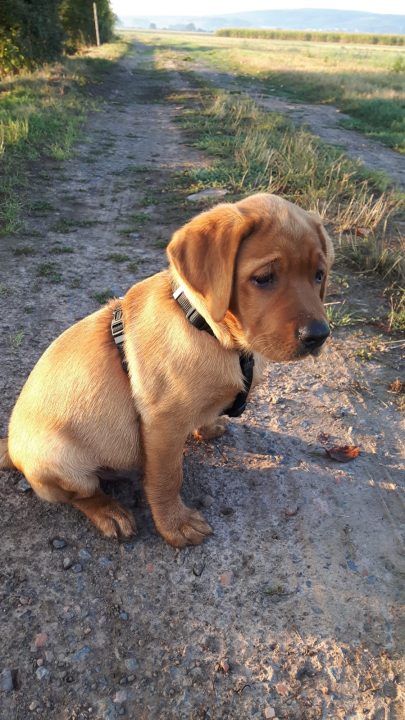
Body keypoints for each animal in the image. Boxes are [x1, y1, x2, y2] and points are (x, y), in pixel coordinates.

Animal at [1, 191, 332, 544]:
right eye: (264, 278)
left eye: (319, 275)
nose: (319, 335)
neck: (206, 328)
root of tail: (12, 447)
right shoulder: (162, 424)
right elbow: (167, 479)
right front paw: (175, 525)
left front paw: (207, 427)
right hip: (61, 460)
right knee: (82, 495)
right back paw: (109, 511)